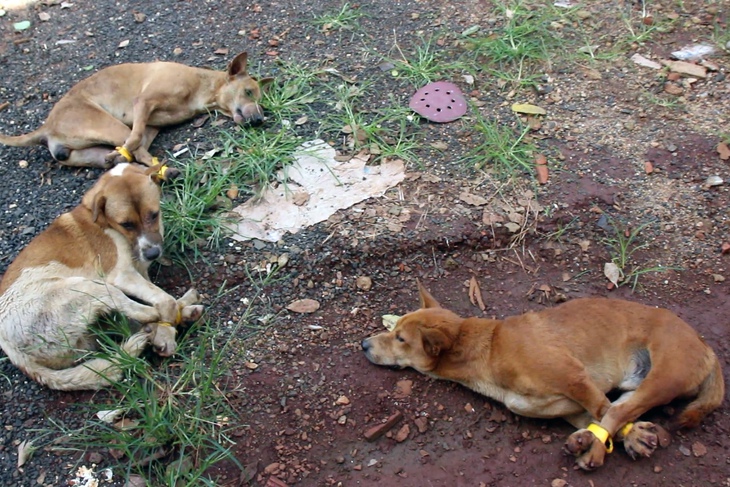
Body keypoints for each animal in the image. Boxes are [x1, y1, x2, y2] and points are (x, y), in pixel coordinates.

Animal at [0, 51, 270, 169]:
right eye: (248, 92)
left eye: (262, 103)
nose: (259, 119)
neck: (201, 87)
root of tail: (46, 127)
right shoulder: (143, 102)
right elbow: (135, 138)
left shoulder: (150, 125)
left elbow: (138, 142)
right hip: (108, 125)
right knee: (128, 147)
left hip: (87, 150)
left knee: (122, 157)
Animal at [1, 162, 205, 390]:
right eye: (126, 224)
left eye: (154, 214)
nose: (153, 254)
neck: (103, 223)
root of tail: (13, 352)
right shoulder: (122, 275)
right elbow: (165, 301)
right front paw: (166, 336)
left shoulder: (141, 273)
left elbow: (161, 299)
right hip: (89, 287)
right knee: (143, 311)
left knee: (135, 321)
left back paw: (184, 312)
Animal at [364, 284, 724, 470]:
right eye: (394, 330)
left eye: (400, 339)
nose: (365, 344)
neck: (489, 348)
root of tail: (707, 347)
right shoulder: (560, 404)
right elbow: (598, 414)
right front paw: (627, 436)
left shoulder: (575, 378)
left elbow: (605, 411)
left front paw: (597, 446)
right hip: (639, 383)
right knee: (623, 407)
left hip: (662, 377)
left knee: (623, 408)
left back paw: (592, 448)